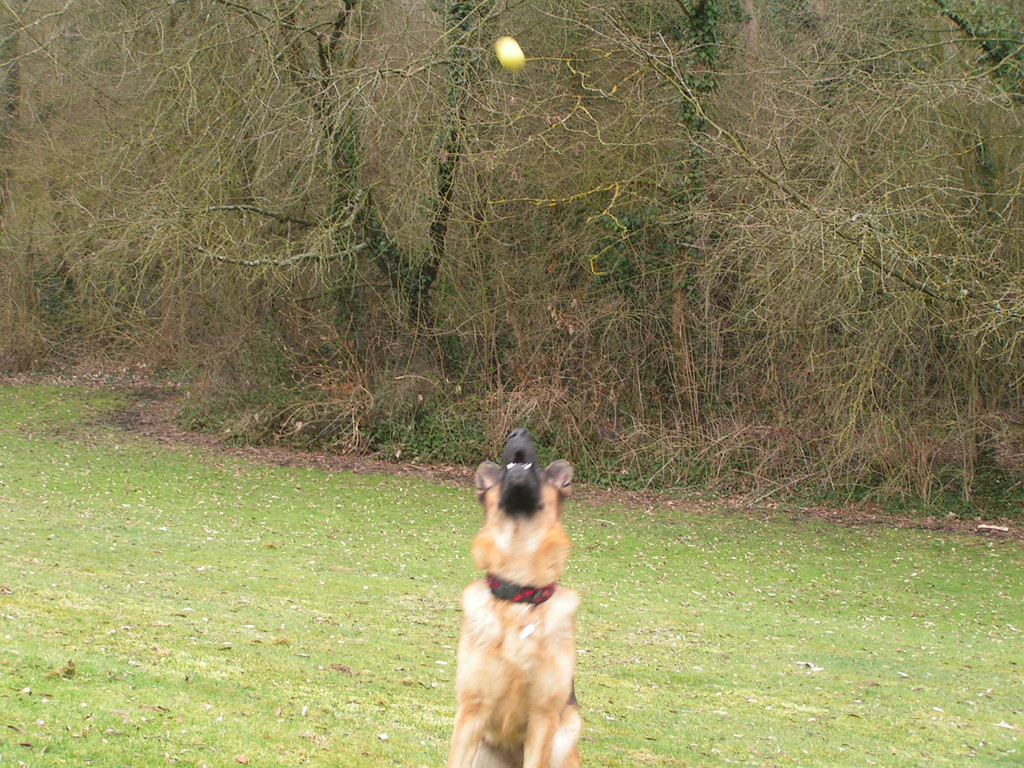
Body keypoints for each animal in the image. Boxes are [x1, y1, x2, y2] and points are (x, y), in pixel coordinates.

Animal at [450, 430, 585, 768]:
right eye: (500, 472)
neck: (520, 595)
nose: (519, 432)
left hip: (563, 740)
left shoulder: (543, 720)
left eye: (542, 471)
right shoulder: (471, 712)